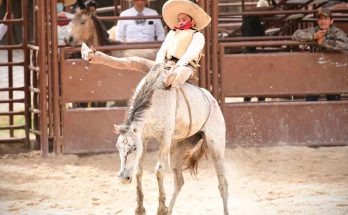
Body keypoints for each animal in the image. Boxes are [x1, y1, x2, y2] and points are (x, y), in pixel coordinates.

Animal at [113, 64, 230, 215]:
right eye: (118, 147)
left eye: (133, 148)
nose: (123, 178)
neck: (155, 100)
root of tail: (214, 101)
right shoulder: (144, 138)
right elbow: (139, 170)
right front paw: (140, 208)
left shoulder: (164, 139)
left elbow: (159, 170)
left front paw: (161, 208)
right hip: (176, 151)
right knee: (179, 181)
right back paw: (169, 209)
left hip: (216, 149)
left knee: (223, 184)